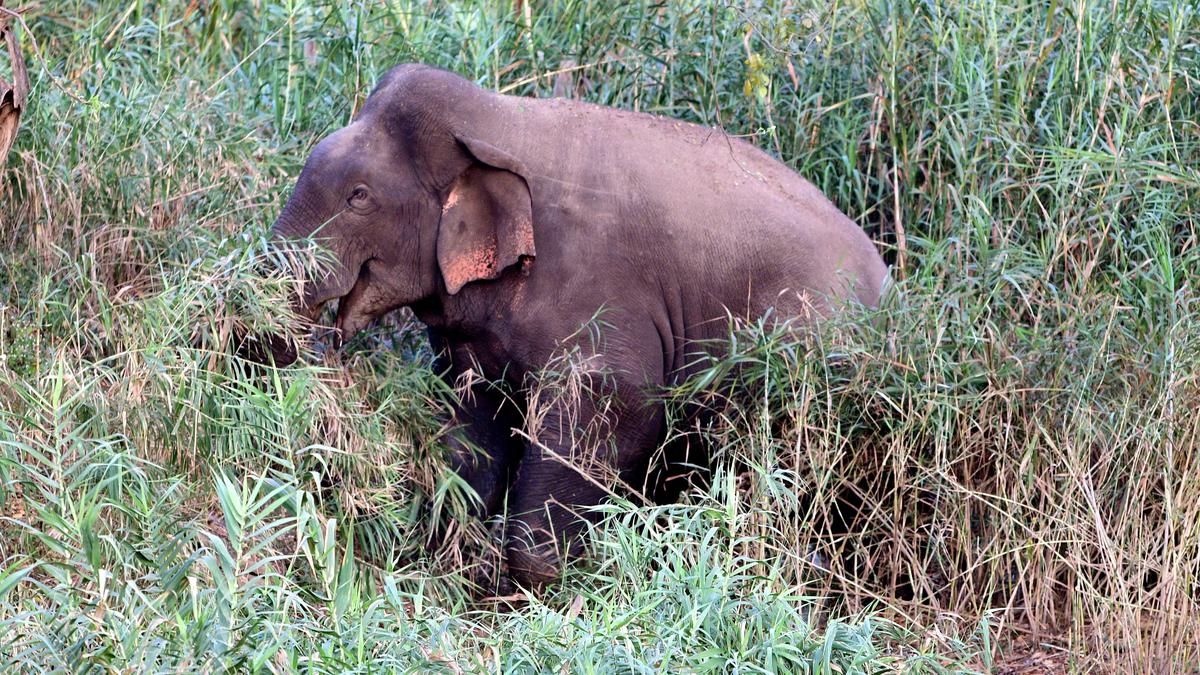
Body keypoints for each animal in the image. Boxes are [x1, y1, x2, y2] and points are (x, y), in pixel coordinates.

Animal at [258, 63, 888, 588]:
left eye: (359, 196)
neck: (498, 120)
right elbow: (473, 417)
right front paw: (457, 561)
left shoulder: (601, 297)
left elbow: (618, 408)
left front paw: (538, 590)